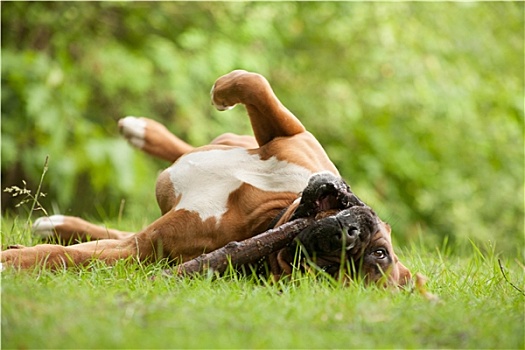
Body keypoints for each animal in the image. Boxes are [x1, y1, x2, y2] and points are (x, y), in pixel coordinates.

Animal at [0, 69, 410, 286]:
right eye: (380, 249)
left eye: (327, 272)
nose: (354, 229)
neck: (268, 215)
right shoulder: (294, 138)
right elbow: (255, 84)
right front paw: (222, 92)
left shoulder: (142, 251)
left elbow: (61, 257)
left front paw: (13, 261)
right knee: (188, 150)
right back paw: (142, 131)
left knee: (112, 233)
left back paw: (55, 228)